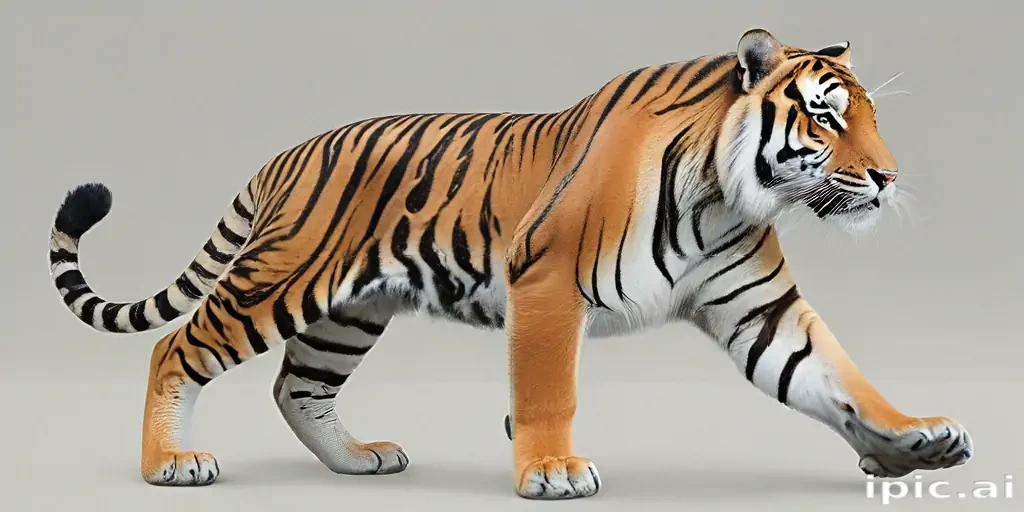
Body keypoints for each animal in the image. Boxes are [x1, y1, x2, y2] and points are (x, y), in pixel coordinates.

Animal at [47, 28, 973, 500]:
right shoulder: (549, 283)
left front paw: (911, 443)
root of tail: (286, 153)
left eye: (874, 118)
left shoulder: (757, 306)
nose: (888, 178)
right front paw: (551, 470)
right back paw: (171, 465)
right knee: (176, 348)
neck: (723, 194)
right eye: (825, 118)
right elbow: (548, 391)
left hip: (350, 312)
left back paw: (359, 460)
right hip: (280, 281)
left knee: (295, 386)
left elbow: (836, 377)